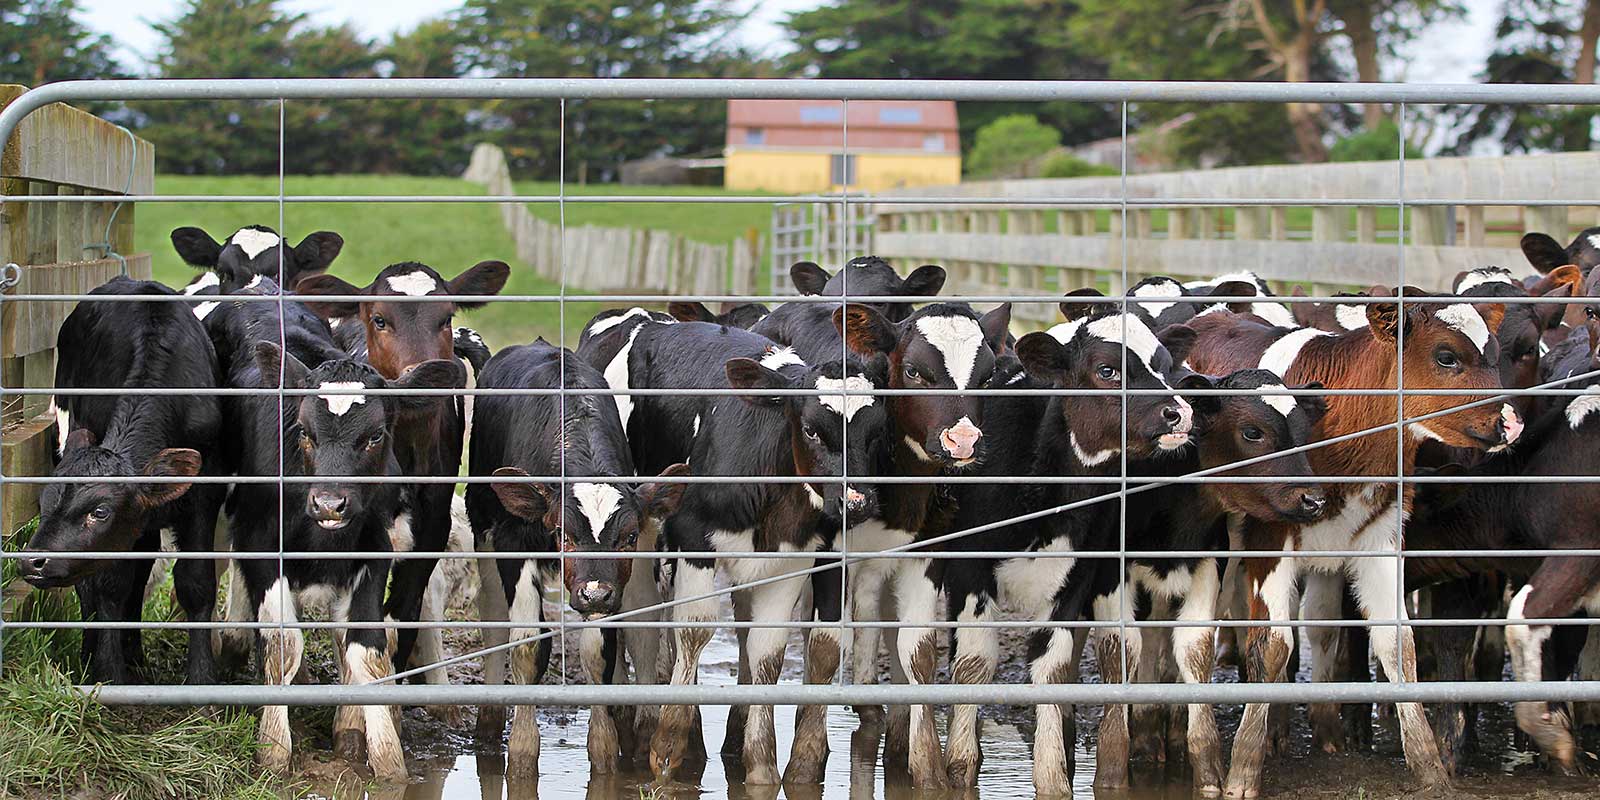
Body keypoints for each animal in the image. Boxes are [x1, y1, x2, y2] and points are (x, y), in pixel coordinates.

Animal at [23, 278, 227, 684]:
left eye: (100, 511)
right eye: (43, 504)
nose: (32, 562)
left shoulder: (202, 496)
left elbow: (195, 583)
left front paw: (202, 677)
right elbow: (109, 585)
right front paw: (109, 673)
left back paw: (134, 652)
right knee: (95, 584)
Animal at [233, 342, 467, 780]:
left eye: (375, 435)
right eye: (304, 433)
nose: (329, 503)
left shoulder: (374, 553)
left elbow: (367, 649)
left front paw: (385, 761)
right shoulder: (258, 547)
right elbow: (283, 645)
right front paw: (273, 752)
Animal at [467, 337, 684, 774]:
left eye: (628, 535)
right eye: (564, 533)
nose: (595, 593)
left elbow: (599, 653)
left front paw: (604, 751)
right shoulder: (514, 541)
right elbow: (527, 645)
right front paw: (521, 752)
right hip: (483, 525)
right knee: (493, 613)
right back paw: (489, 725)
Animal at [1190, 289, 1523, 793]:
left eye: (1497, 356)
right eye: (1446, 356)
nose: (1510, 423)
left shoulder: (1380, 538)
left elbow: (1398, 646)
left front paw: (1430, 770)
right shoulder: (1271, 535)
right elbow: (1272, 645)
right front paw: (1243, 769)